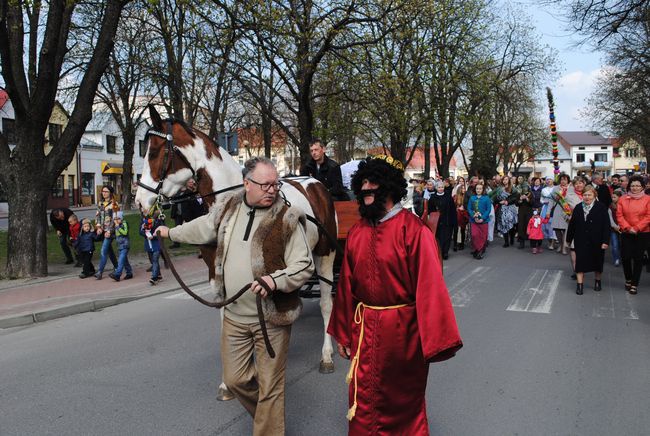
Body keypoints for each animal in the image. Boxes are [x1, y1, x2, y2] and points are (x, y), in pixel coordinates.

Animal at [132, 107, 334, 400]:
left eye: (155, 152)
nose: (139, 201)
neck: (236, 198)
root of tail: (314, 182)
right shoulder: (216, 273)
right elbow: (227, 316)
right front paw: (230, 380)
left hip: (325, 255)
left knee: (327, 303)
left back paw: (327, 355)